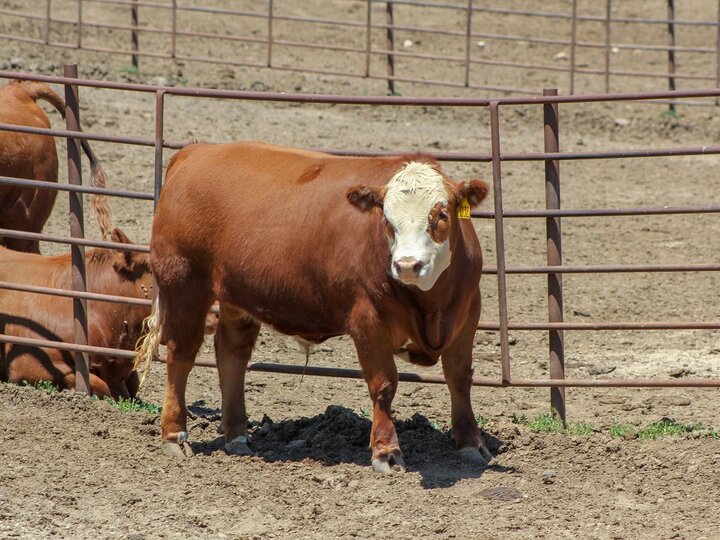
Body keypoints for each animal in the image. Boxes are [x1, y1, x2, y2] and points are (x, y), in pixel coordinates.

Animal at [136, 141, 492, 474]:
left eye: (441, 215)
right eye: (387, 221)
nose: (406, 265)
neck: (431, 305)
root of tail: (195, 152)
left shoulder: (469, 313)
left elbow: (459, 377)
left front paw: (471, 443)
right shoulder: (368, 320)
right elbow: (384, 385)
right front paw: (387, 453)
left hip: (235, 294)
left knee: (231, 353)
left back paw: (236, 436)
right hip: (184, 284)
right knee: (181, 355)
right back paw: (174, 434)